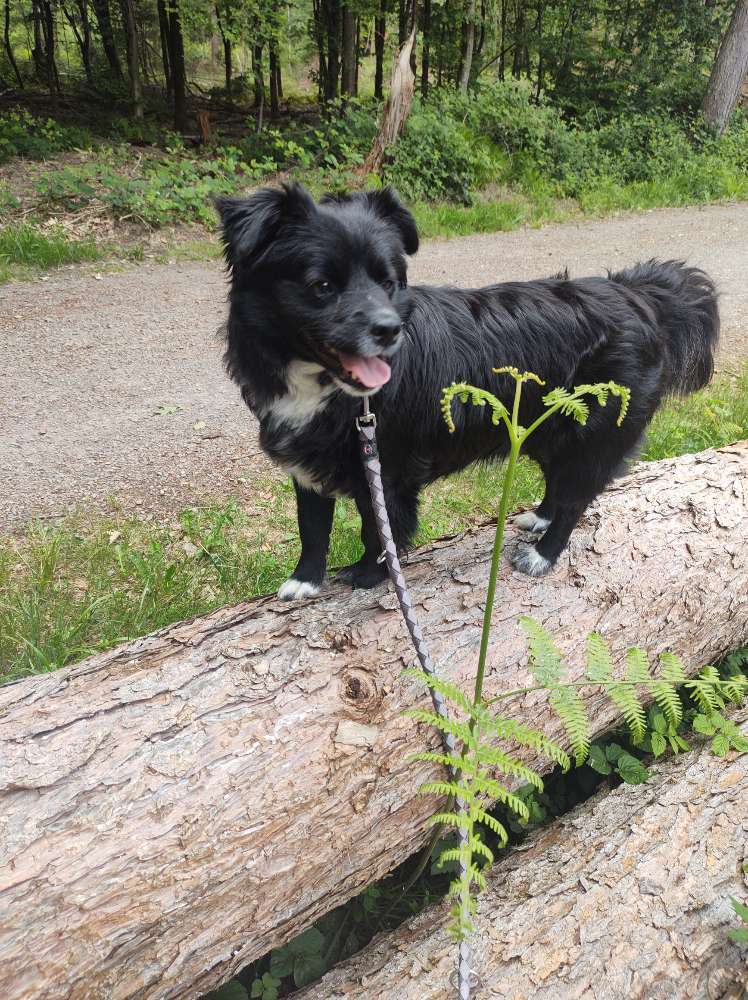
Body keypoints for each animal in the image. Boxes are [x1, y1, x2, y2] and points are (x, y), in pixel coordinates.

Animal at [218, 184, 720, 596]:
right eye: (321, 285)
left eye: (388, 282)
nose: (389, 330)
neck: (323, 384)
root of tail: (639, 294)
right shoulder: (307, 463)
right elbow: (312, 526)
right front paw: (304, 581)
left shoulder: (387, 467)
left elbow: (380, 529)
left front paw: (369, 574)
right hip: (544, 428)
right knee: (558, 483)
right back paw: (540, 517)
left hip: (592, 432)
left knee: (576, 497)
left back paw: (544, 554)